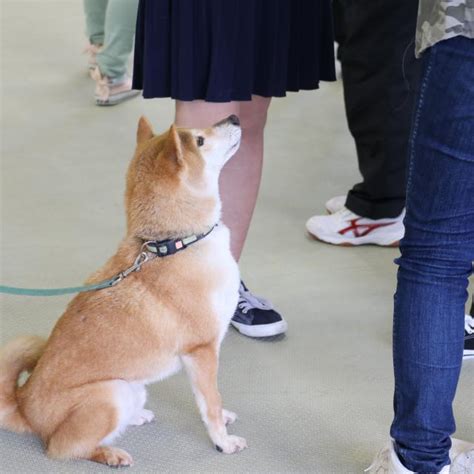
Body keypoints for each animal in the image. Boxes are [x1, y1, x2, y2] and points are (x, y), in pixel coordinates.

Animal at [0, 115, 248, 466]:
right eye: (200, 140)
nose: (234, 117)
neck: (173, 244)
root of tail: (23, 405)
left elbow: (213, 401)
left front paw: (224, 420)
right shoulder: (201, 351)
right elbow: (210, 403)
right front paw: (223, 442)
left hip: (133, 387)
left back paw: (136, 417)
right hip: (111, 392)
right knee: (64, 448)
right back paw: (109, 453)